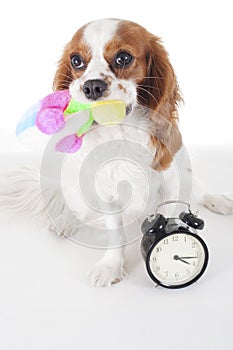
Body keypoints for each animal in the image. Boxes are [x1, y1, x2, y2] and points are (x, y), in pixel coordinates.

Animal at [0, 19, 232, 286]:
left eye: (123, 57)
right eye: (76, 60)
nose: (92, 86)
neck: (120, 132)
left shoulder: (173, 180)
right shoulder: (107, 191)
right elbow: (115, 233)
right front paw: (111, 267)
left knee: (199, 191)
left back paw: (219, 200)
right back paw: (64, 222)